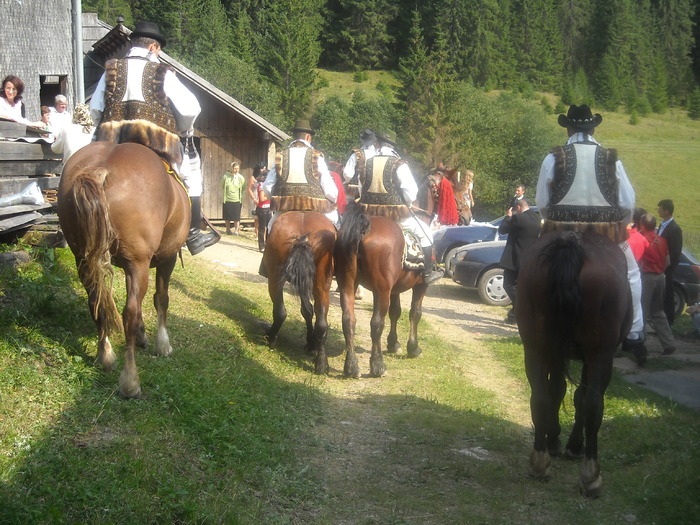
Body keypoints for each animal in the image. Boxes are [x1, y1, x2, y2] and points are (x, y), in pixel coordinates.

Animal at [57, 141, 190, 396]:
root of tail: (101, 167)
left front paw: (142, 335)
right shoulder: (165, 260)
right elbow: (161, 299)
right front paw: (163, 344)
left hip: (85, 259)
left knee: (97, 302)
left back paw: (105, 355)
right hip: (139, 265)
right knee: (129, 312)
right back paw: (130, 380)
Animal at [262, 209, 340, 372]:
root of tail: (303, 238)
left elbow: (305, 310)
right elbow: (308, 311)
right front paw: (311, 343)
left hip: (274, 277)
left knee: (280, 311)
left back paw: (271, 337)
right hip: (321, 283)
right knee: (322, 322)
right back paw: (321, 362)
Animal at [332, 199, 432, 378]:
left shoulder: (394, 290)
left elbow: (395, 312)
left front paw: (393, 344)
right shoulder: (421, 285)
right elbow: (415, 313)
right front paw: (413, 348)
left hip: (347, 285)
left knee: (348, 320)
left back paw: (351, 366)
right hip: (381, 291)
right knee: (376, 323)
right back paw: (377, 365)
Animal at [516, 229, 632, 496]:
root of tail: (572, 243)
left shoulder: (556, 352)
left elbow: (557, 390)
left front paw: (554, 439)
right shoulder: (592, 359)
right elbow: (580, 398)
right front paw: (573, 444)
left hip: (535, 348)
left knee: (539, 397)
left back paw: (540, 462)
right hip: (600, 354)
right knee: (593, 404)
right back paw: (590, 476)